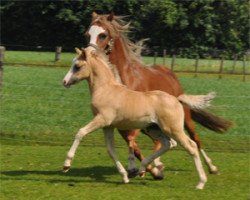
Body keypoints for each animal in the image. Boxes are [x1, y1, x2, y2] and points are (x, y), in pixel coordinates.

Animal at [62, 48, 213, 189]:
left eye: (77, 66)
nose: (64, 82)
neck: (105, 89)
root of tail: (177, 99)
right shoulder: (108, 126)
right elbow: (111, 151)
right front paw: (124, 176)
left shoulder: (102, 120)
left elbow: (81, 132)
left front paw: (66, 164)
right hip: (154, 128)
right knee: (167, 144)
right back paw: (142, 169)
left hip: (173, 129)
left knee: (191, 146)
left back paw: (201, 182)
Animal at [85, 12, 231, 178]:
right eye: (88, 34)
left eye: (103, 35)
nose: (87, 54)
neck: (125, 79)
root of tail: (171, 75)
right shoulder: (123, 123)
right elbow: (133, 145)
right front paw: (145, 170)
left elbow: (132, 141)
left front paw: (140, 168)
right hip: (154, 124)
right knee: (163, 142)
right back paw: (158, 165)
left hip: (184, 118)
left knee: (194, 140)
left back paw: (212, 167)